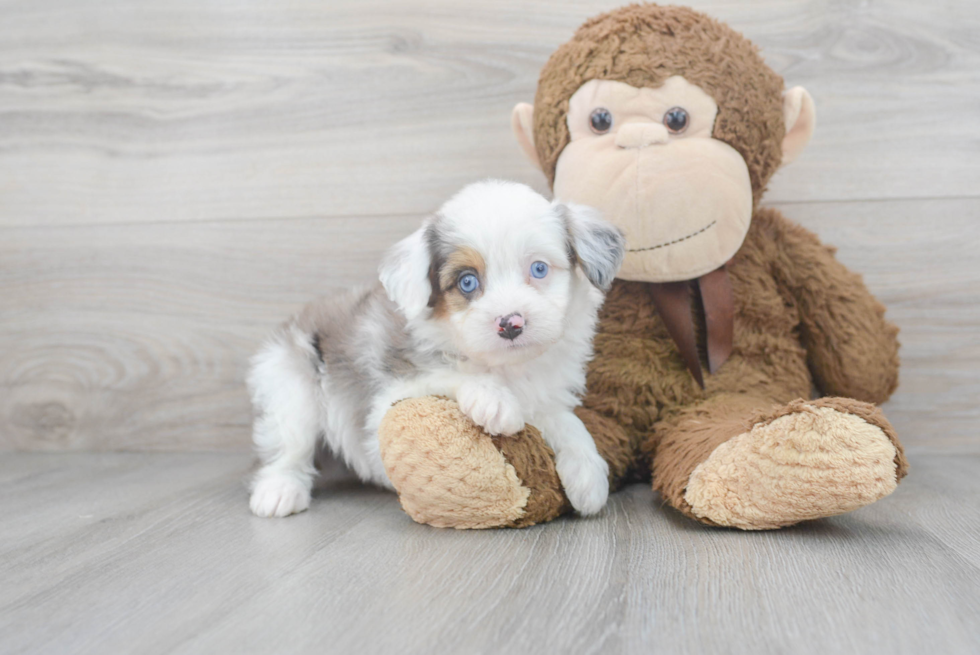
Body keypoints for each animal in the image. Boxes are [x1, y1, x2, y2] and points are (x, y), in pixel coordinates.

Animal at [249, 179, 624, 516]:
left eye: (539, 268)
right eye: (467, 281)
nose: (510, 324)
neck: (506, 367)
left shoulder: (546, 396)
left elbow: (568, 422)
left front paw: (588, 474)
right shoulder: (390, 394)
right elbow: (447, 374)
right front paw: (495, 400)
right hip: (291, 383)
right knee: (289, 445)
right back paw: (279, 490)